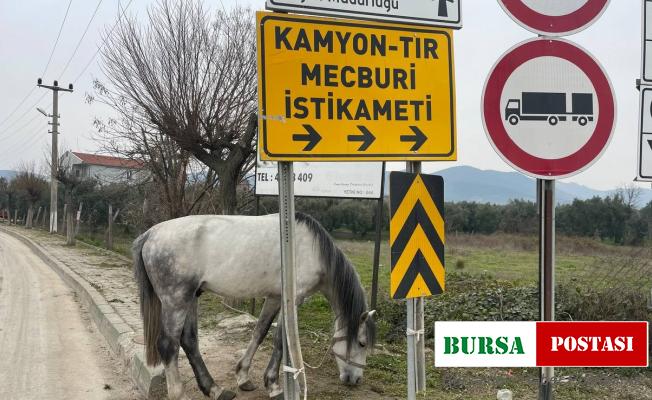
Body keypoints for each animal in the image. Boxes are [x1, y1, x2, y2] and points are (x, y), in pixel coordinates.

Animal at [132, 212, 374, 400]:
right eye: (362, 343)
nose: (356, 379)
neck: (311, 250)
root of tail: (150, 234)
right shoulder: (292, 300)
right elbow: (280, 341)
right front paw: (274, 385)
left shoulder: (274, 298)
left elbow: (260, 332)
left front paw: (243, 376)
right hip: (177, 299)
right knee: (168, 345)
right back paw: (180, 393)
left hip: (192, 297)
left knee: (189, 341)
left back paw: (215, 389)